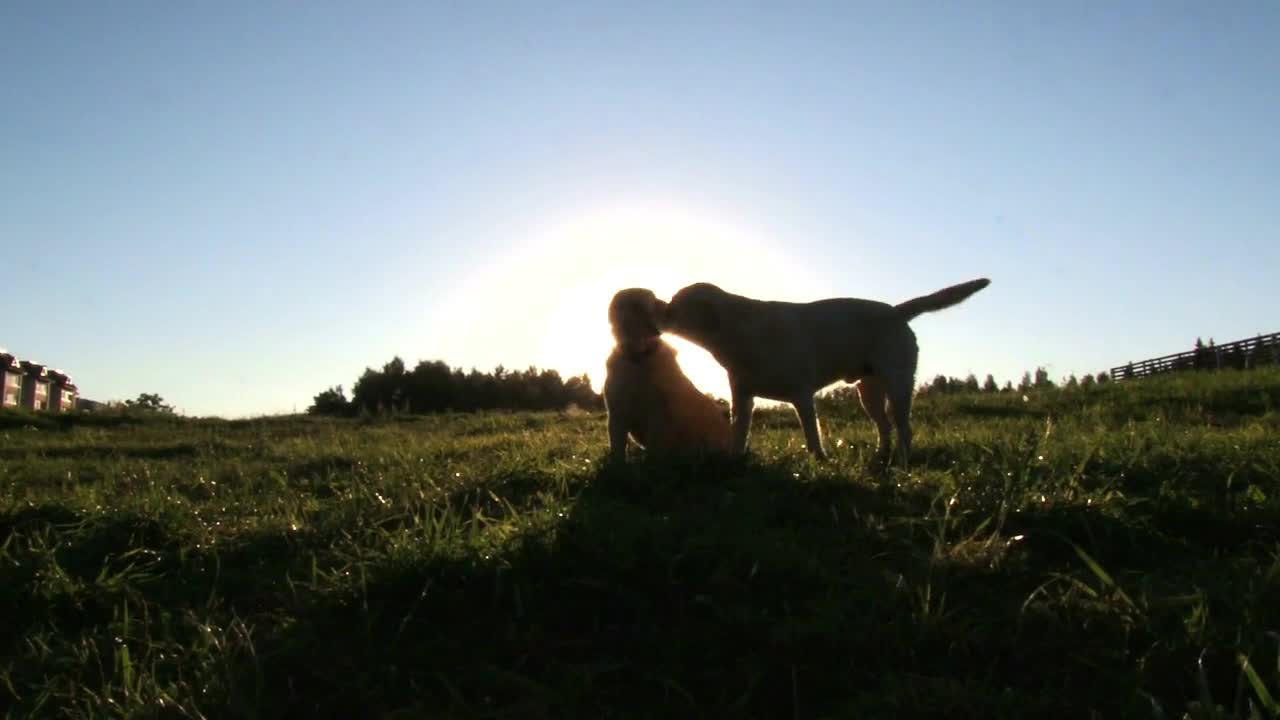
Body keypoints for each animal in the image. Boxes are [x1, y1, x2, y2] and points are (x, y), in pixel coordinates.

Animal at [604, 285, 737, 458]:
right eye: (652, 301)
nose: (669, 306)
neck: (639, 358)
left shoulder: (657, 416)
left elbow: (654, 448)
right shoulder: (617, 414)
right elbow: (617, 449)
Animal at [660, 274, 988, 466]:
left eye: (676, 305)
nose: (660, 308)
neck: (738, 331)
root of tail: (896, 311)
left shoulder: (802, 396)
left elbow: (811, 434)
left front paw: (821, 461)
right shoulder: (743, 398)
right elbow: (739, 432)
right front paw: (735, 459)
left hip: (898, 386)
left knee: (904, 428)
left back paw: (903, 461)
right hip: (869, 393)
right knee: (884, 428)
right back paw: (881, 457)